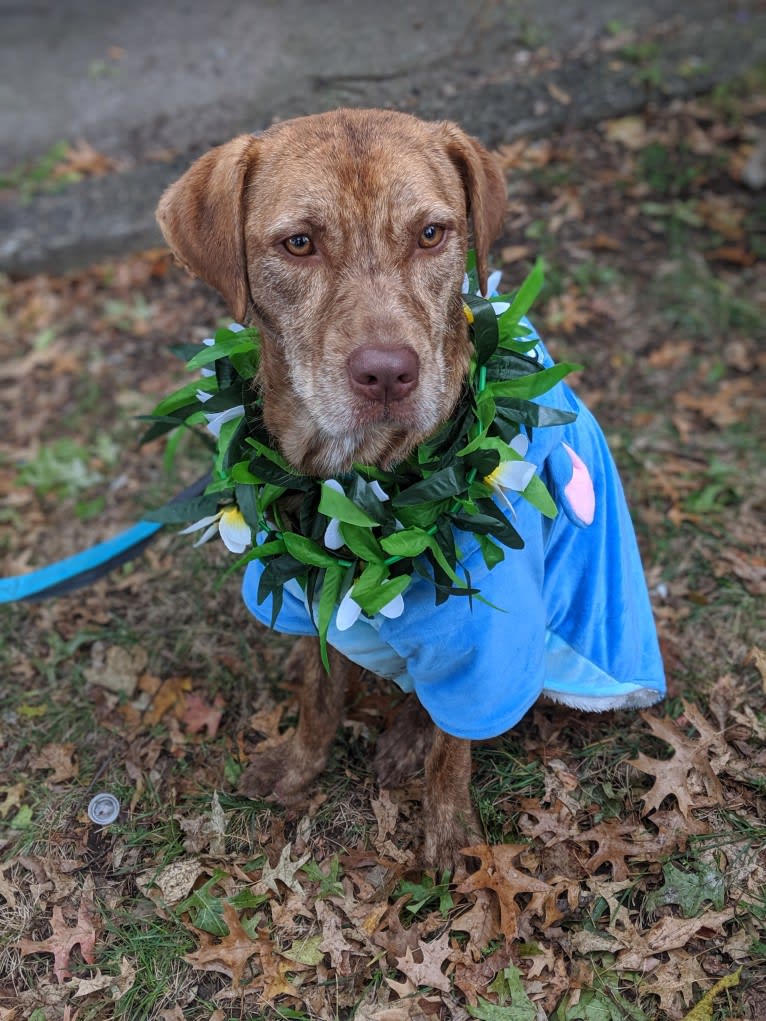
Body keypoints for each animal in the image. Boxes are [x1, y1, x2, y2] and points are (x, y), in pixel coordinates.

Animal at [157, 107, 510, 865]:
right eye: (299, 244)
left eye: (431, 234)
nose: (388, 374)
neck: (362, 473)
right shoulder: (314, 582)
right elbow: (318, 696)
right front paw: (298, 767)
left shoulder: (485, 639)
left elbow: (456, 742)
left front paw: (449, 830)